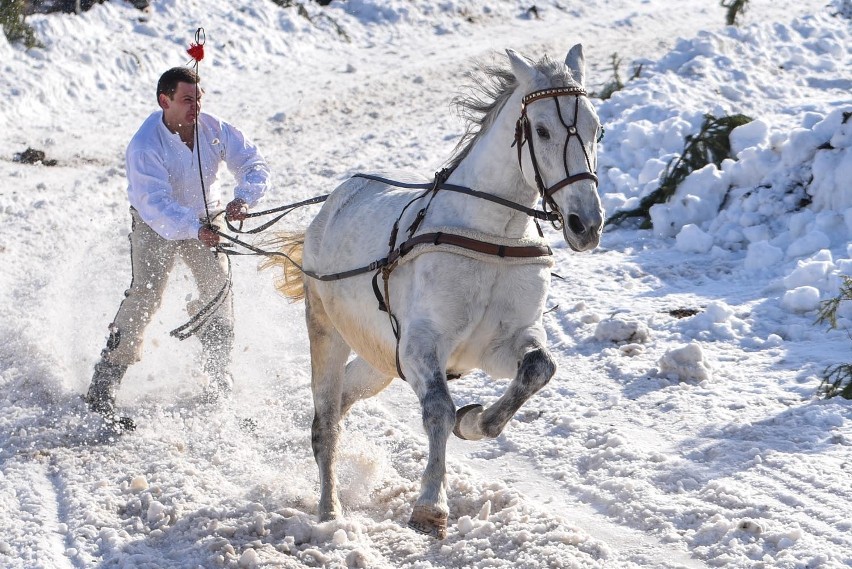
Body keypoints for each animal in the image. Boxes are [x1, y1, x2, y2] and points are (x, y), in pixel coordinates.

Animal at [270, 44, 604, 536]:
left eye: (597, 128)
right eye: (542, 129)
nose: (587, 224)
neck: (492, 237)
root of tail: (334, 200)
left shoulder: (499, 343)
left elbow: (538, 368)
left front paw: (475, 421)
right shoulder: (420, 346)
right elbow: (439, 411)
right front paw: (430, 503)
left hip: (379, 359)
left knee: (347, 395)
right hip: (326, 327)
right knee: (327, 418)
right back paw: (329, 511)